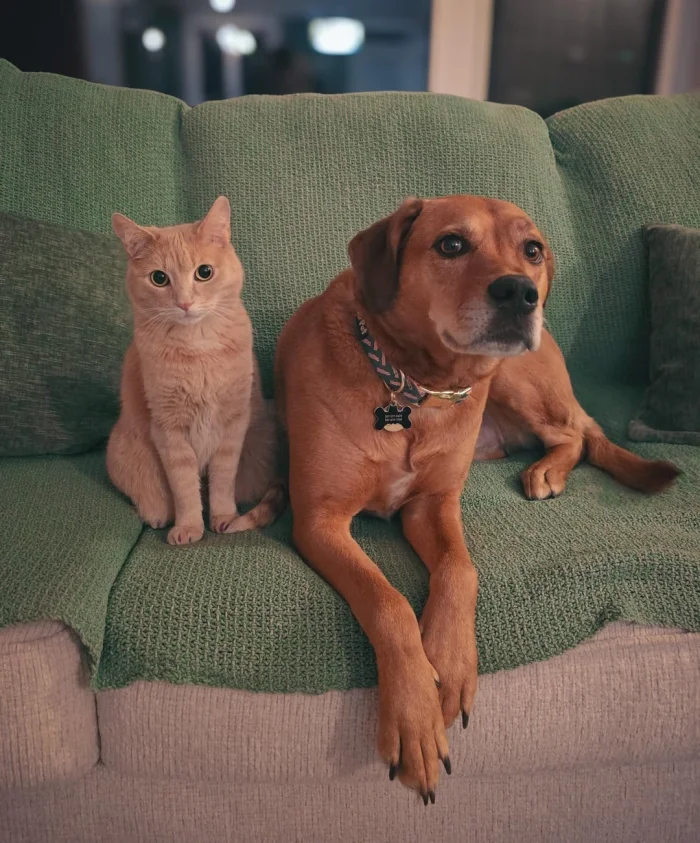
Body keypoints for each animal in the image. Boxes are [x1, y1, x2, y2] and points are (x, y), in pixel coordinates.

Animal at [107, 196, 284, 545]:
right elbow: (185, 487)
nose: (184, 303)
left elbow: (222, 481)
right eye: (159, 278)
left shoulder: (233, 424)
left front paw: (222, 518)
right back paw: (157, 516)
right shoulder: (167, 429)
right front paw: (189, 527)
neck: (197, 348)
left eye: (204, 272)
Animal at [275, 195, 678, 803]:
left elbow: (461, 571)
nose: (520, 292)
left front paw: (450, 663)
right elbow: (387, 600)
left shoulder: (435, 504)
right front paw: (414, 714)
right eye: (451, 244)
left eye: (531, 249)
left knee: (576, 435)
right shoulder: (320, 520)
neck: (415, 388)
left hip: (515, 379)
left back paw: (547, 471)